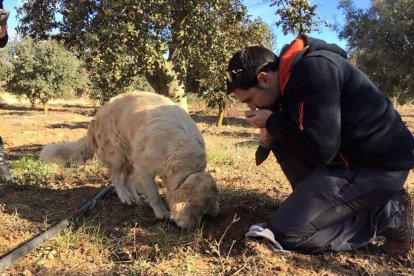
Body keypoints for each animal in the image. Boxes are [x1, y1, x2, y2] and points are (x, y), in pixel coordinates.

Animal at [40, 92, 218, 229]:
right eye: (196, 211)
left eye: (203, 214)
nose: (192, 229)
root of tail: (96, 117)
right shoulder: (144, 168)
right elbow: (154, 194)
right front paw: (161, 212)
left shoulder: (142, 167)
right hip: (118, 154)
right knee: (116, 178)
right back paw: (125, 197)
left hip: (130, 155)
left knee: (127, 179)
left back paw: (135, 198)